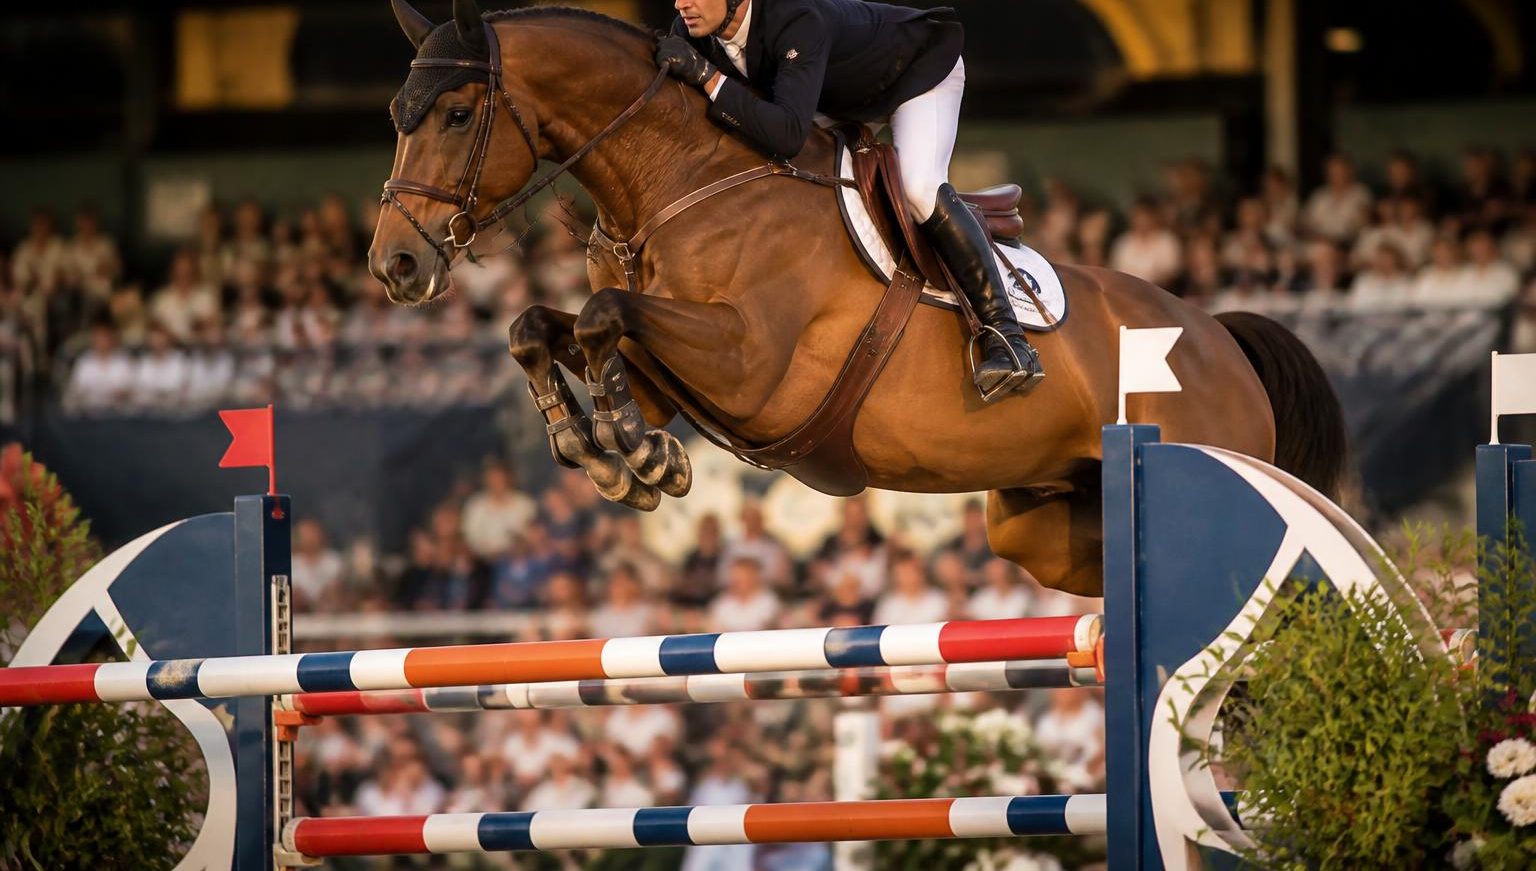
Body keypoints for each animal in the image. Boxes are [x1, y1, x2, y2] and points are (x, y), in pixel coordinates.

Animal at [367, 0, 1346, 597]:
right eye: (395, 116)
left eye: (457, 114)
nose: (395, 266)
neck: (683, 178)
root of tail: (1219, 336)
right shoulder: (663, 365)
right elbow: (542, 327)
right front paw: (606, 451)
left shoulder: (752, 364)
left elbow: (607, 320)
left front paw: (640, 457)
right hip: (1039, 523)